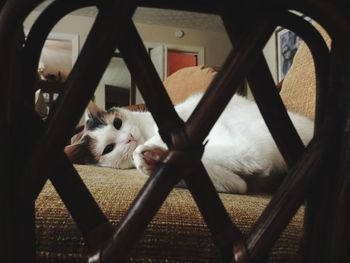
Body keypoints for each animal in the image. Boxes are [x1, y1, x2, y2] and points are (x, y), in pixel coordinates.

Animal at [65, 94, 314, 195]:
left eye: (117, 123)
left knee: (253, 155)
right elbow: (238, 185)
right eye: (108, 149)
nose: (128, 138)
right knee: (245, 175)